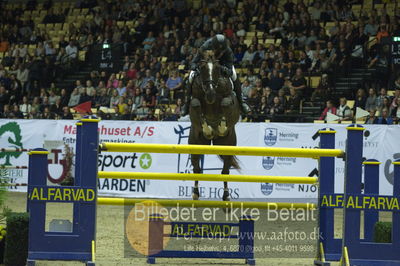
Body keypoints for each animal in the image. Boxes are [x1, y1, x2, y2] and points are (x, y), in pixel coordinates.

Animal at [188, 52, 241, 202]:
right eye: (202, 68)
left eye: (217, 69)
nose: (210, 95)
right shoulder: (195, 101)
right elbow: (196, 105)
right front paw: (208, 129)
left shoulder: (229, 99)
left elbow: (225, 103)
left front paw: (221, 127)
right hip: (196, 144)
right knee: (196, 170)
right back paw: (195, 194)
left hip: (227, 145)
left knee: (225, 171)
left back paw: (226, 196)